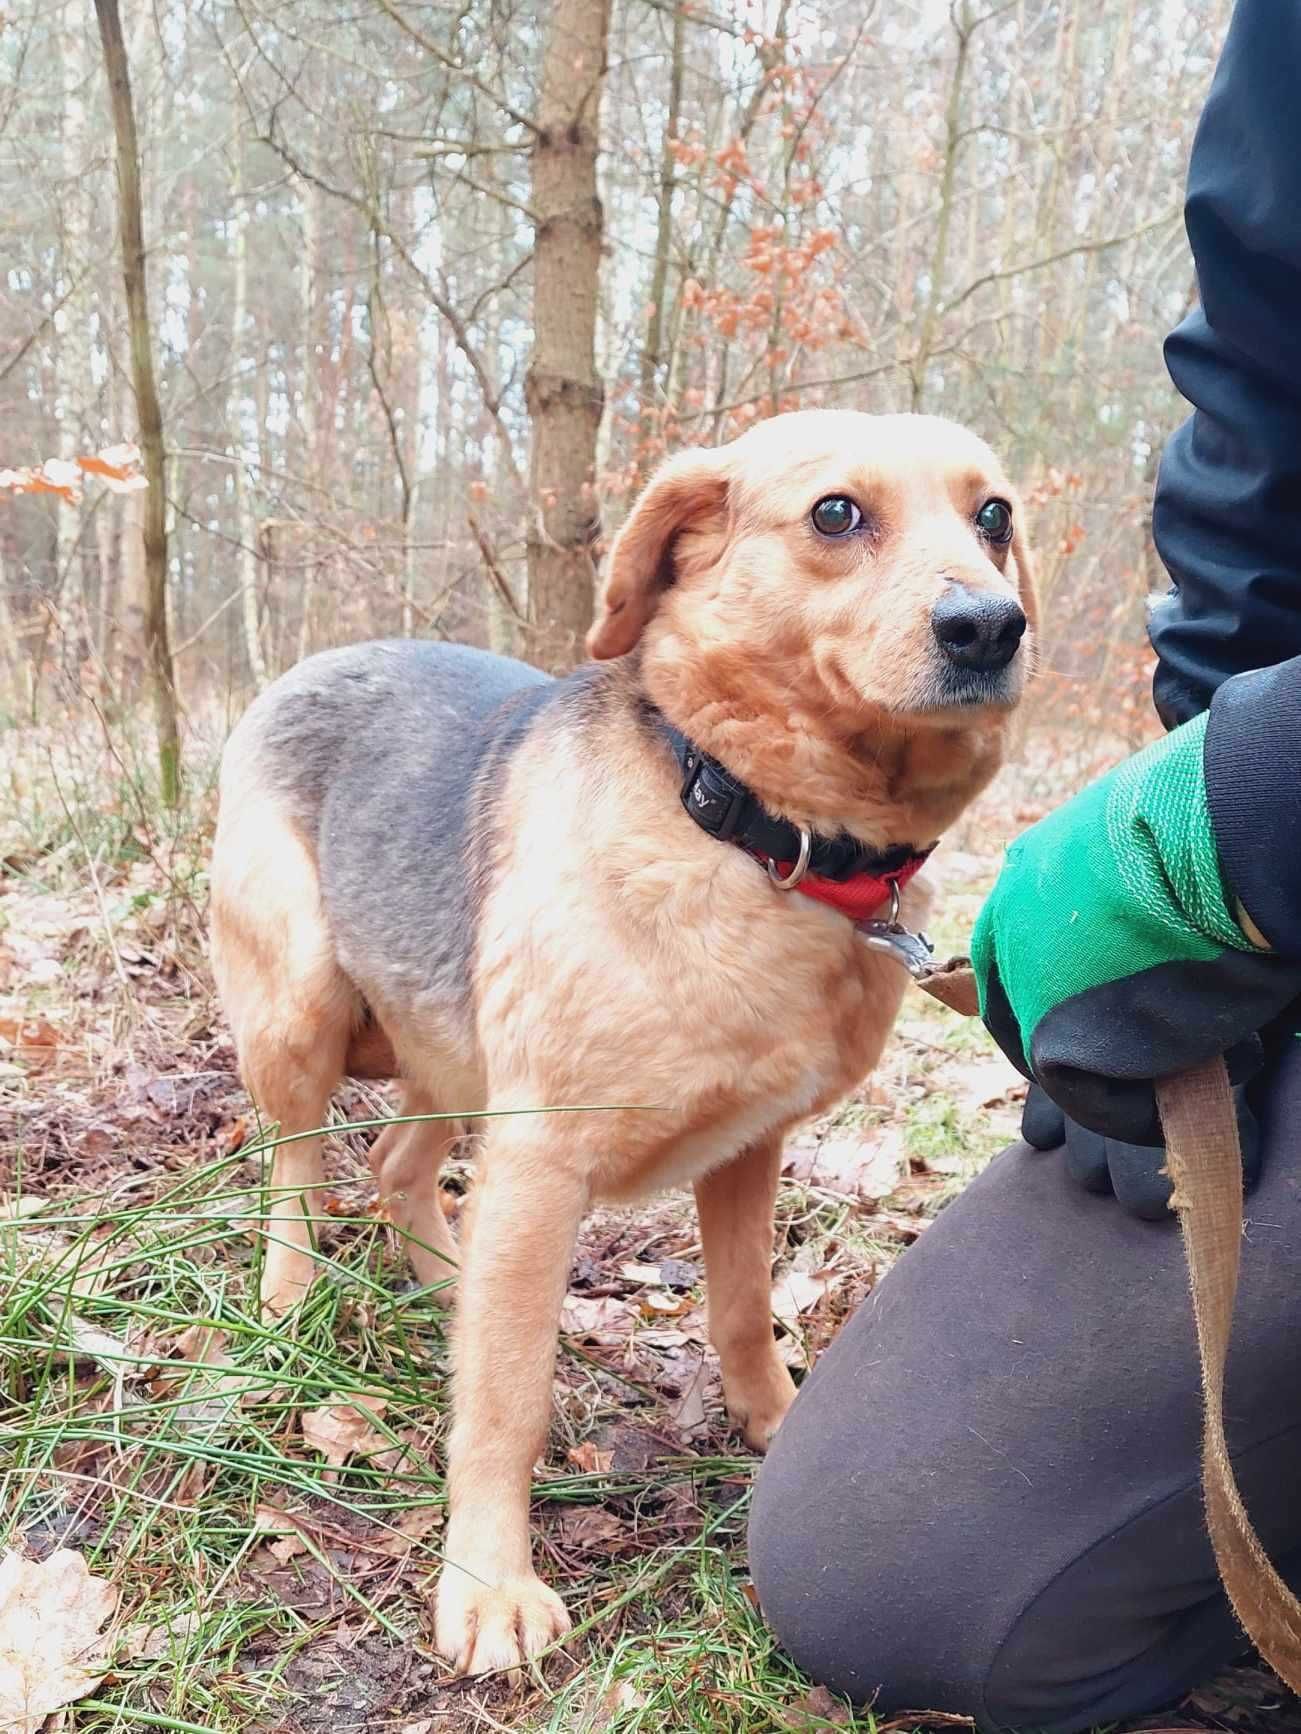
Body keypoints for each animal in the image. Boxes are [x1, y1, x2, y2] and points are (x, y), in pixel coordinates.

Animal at [211, 409, 1040, 1678]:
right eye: (835, 513)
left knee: (399, 1170)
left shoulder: (745, 1148)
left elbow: (740, 1308)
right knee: (296, 1170)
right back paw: (289, 1299)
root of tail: (311, 662)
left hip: (454, 1062)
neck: (747, 829)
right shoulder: (541, 1158)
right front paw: (488, 1584)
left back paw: (448, 1282)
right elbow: (504, 1401)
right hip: (303, 1008)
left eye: (990, 516)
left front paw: (774, 1420)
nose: (991, 626)